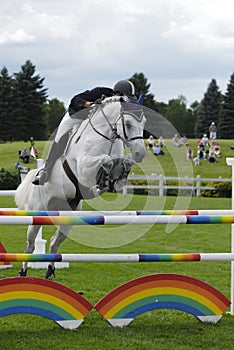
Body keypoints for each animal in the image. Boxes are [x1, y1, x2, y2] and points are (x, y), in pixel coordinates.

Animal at [15, 95, 146, 278]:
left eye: (144, 123)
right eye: (127, 123)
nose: (140, 153)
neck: (108, 137)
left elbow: (124, 162)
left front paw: (115, 181)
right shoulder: (84, 168)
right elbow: (106, 160)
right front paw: (101, 183)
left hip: (68, 217)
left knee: (55, 243)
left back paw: (50, 272)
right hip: (37, 213)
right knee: (30, 245)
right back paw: (23, 272)